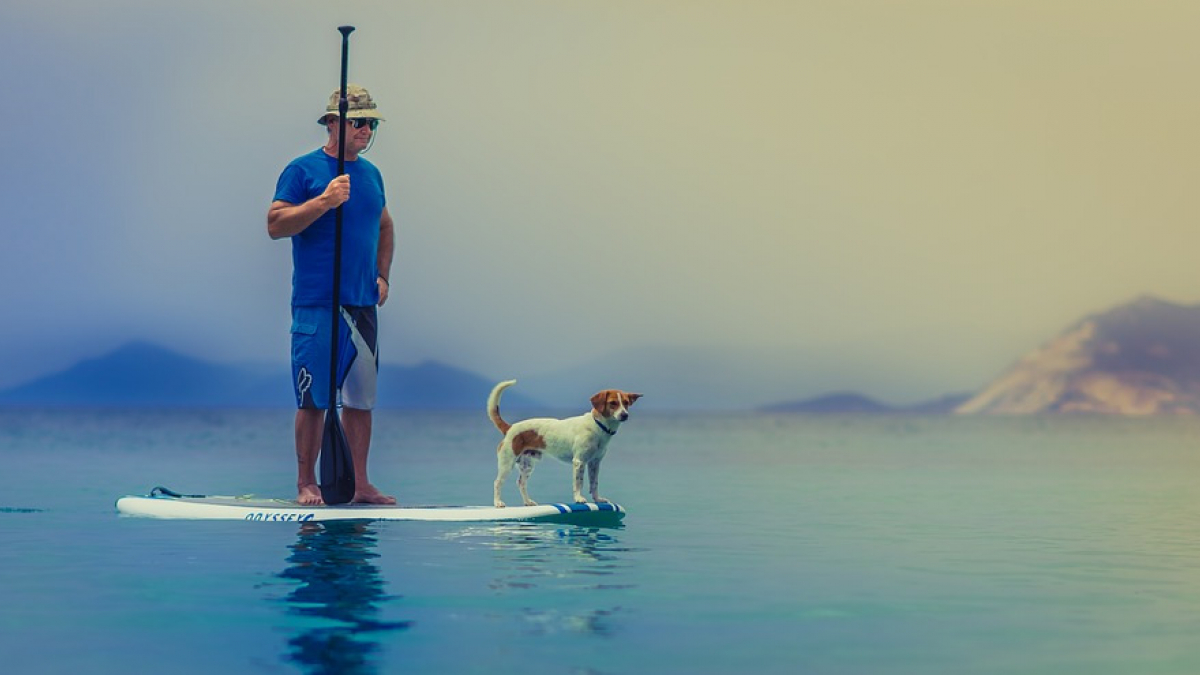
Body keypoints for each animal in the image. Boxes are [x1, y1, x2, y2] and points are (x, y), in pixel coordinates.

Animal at [487, 379, 643, 504]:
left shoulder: (595, 463)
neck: (598, 426)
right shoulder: (579, 461)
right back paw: (498, 503)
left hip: (527, 465)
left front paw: (597, 499)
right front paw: (579, 498)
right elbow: (579, 483)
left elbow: (594, 484)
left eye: (626, 403)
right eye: (613, 403)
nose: (625, 415)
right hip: (507, 463)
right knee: (497, 483)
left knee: (521, 483)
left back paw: (528, 502)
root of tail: (510, 427)